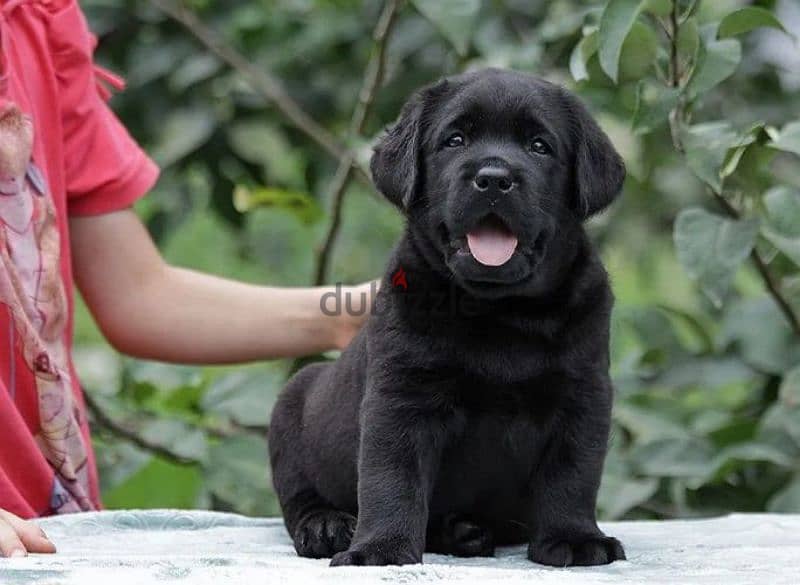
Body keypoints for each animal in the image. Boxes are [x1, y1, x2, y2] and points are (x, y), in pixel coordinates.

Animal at [272, 67, 628, 564]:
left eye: (540, 146)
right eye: (455, 140)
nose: (494, 179)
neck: (501, 311)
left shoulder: (584, 394)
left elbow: (573, 473)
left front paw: (575, 538)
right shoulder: (402, 396)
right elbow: (391, 478)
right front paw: (380, 549)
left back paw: (462, 531)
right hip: (291, 406)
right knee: (298, 494)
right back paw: (326, 526)